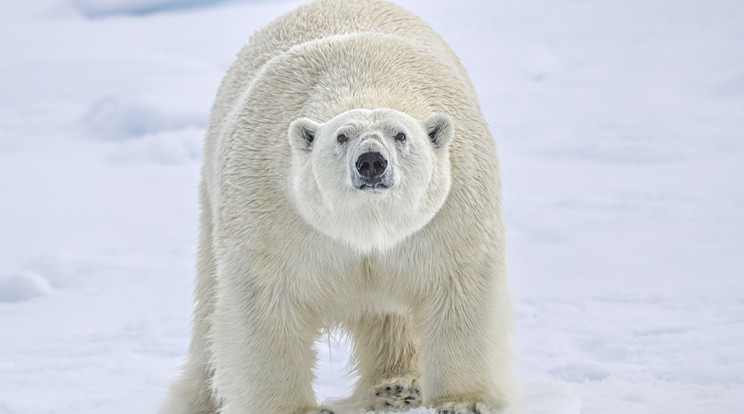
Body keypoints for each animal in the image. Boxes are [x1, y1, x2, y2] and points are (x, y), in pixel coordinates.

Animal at [160, 0, 516, 414]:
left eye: (401, 135)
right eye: (341, 137)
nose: (371, 162)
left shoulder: (449, 213)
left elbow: (458, 288)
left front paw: (463, 401)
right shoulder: (274, 210)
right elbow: (266, 301)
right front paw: (290, 407)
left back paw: (397, 387)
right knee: (209, 303)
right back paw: (200, 397)